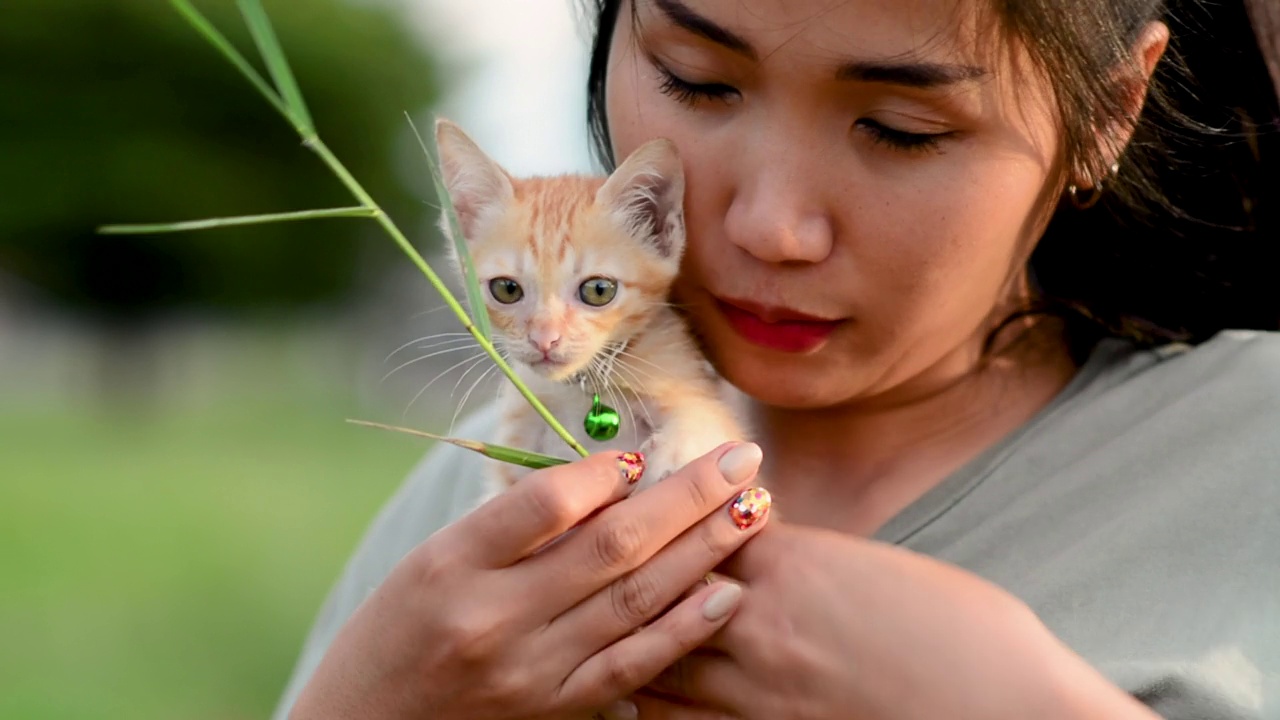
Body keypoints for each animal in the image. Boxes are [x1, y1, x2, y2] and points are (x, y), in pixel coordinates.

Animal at [435, 117, 747, 497]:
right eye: (506, 289)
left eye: (599, 291)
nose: (544, 339)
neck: (580, 388)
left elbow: (705, 417)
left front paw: (671, 453)